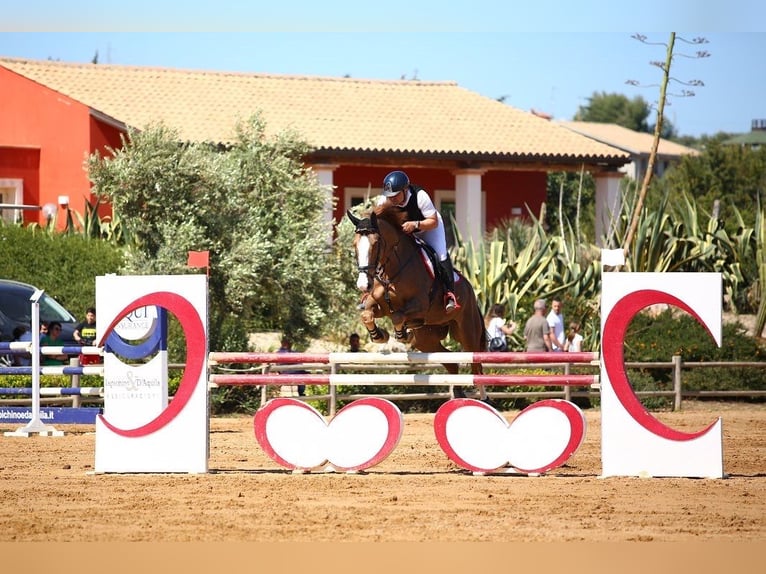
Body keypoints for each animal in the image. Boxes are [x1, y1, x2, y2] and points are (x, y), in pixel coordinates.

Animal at [346, 206, 486, 400]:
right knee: (451, 362)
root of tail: (470, 288)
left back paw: (485, 398)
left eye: (376, 244)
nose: (363, 285)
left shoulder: (420, 306)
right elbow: (367, 313)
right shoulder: (381, 306)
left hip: (467, 332)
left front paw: (401, 335)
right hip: (426, 339)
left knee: (476, 365)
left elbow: (398, 316)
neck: (393, 270)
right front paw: (380, 335)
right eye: (355, 245)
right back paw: (458, 394)